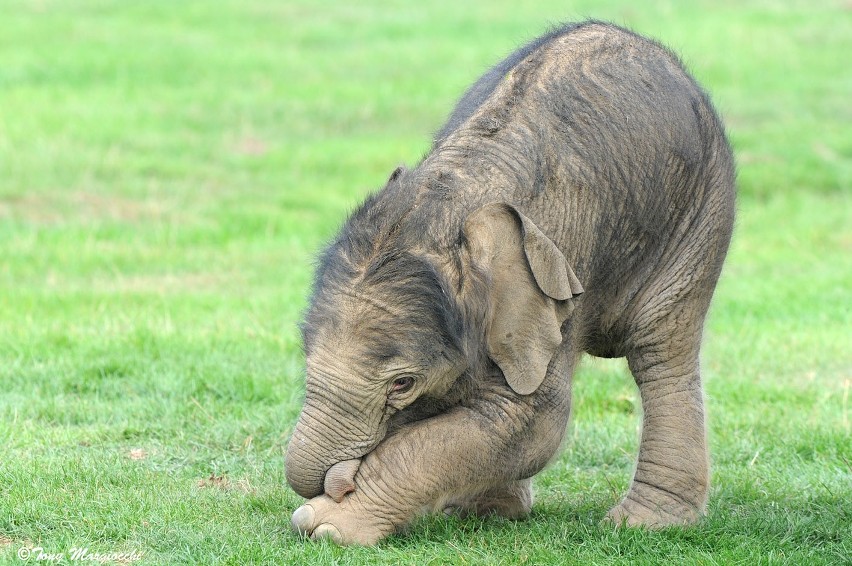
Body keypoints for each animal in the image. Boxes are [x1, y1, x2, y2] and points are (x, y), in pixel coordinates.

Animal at [284, 21, 732, 544]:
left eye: (402, 383)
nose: (340, 480)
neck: (455, 195)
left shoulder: (558, 265)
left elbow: (532, 420)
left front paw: (323, 526)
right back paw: (486, 513)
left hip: (701, 216)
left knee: (661, 353)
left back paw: (645, 523)